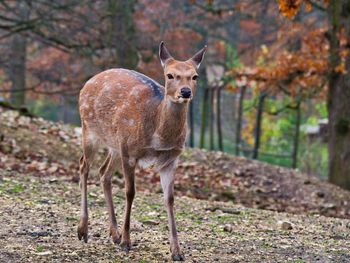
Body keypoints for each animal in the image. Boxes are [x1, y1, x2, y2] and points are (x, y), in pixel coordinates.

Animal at [77, 42, 205, 260]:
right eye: (170, 75)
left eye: (194, 76)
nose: (186, 92)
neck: (158, 138)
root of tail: (88, 82)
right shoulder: (130, 153)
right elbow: (130, 192)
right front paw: (127, 242)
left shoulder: (171, 159)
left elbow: (170, 199)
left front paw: (177, 251)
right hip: (90, 130)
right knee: (84, 166)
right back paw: (83, 230)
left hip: (116, 144)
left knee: (104, 172)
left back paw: (114, 233)